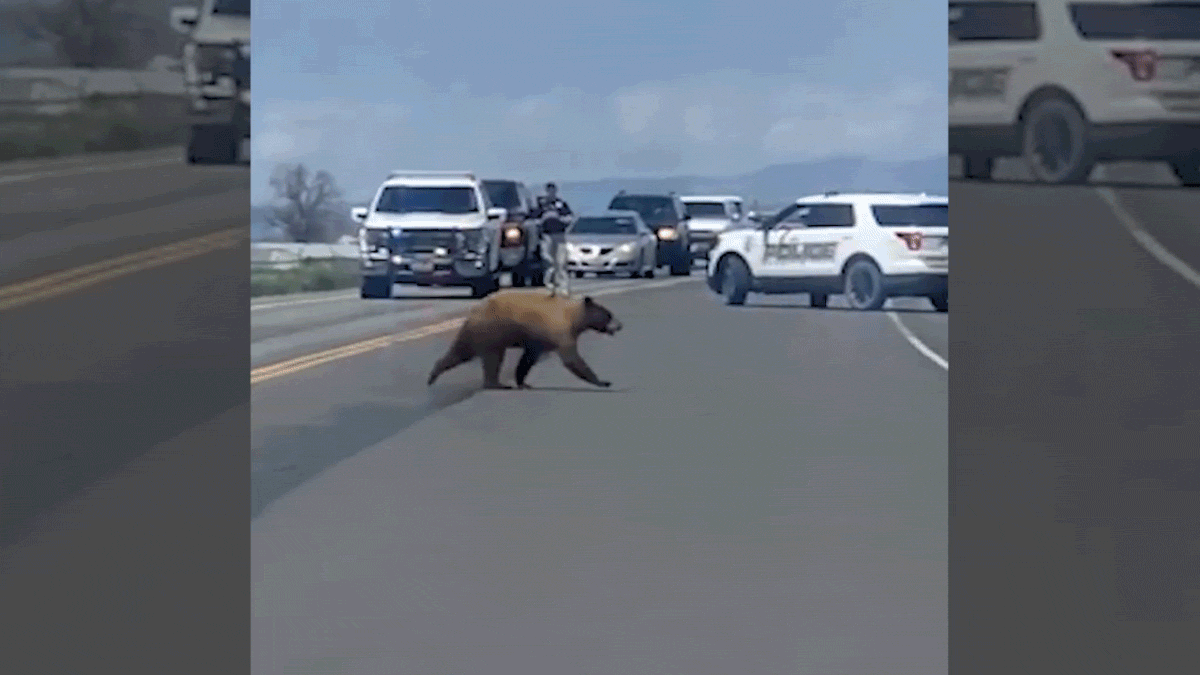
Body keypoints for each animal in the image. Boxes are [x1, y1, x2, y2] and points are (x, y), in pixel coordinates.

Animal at [427, 289, 624, 389]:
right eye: (608, 315)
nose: (620, 325)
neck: (574, 318)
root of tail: (474, 310)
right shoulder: (559, 330)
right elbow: (572, 359)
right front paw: (602, 381)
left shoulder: (538, 339)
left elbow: (528, 359)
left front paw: (523, 382)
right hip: (492, 330)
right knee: (491, 358)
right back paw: (496, 384)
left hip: (479, 333)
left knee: (461, 352)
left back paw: (433, 374)